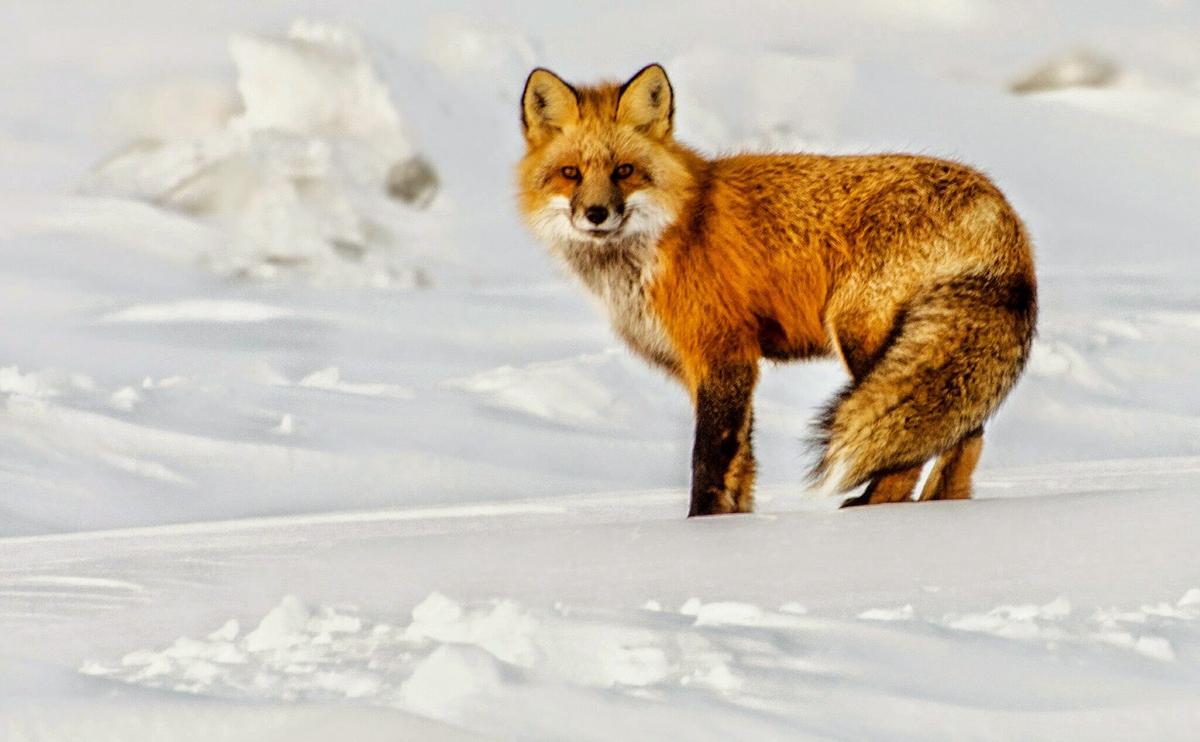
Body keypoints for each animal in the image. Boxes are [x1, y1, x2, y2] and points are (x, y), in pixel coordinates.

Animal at [513, 63, 1032, 513]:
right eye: (571, 173)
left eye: (624, 171)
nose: (596, 214)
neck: (669, 232)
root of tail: (999, 208)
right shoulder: (713, 366)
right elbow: (741, 468)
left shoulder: (724, 353)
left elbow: (708, 461)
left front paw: (702, 527)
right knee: (964, 435)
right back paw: (943, 507)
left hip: (861, 333)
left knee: (910, 450)